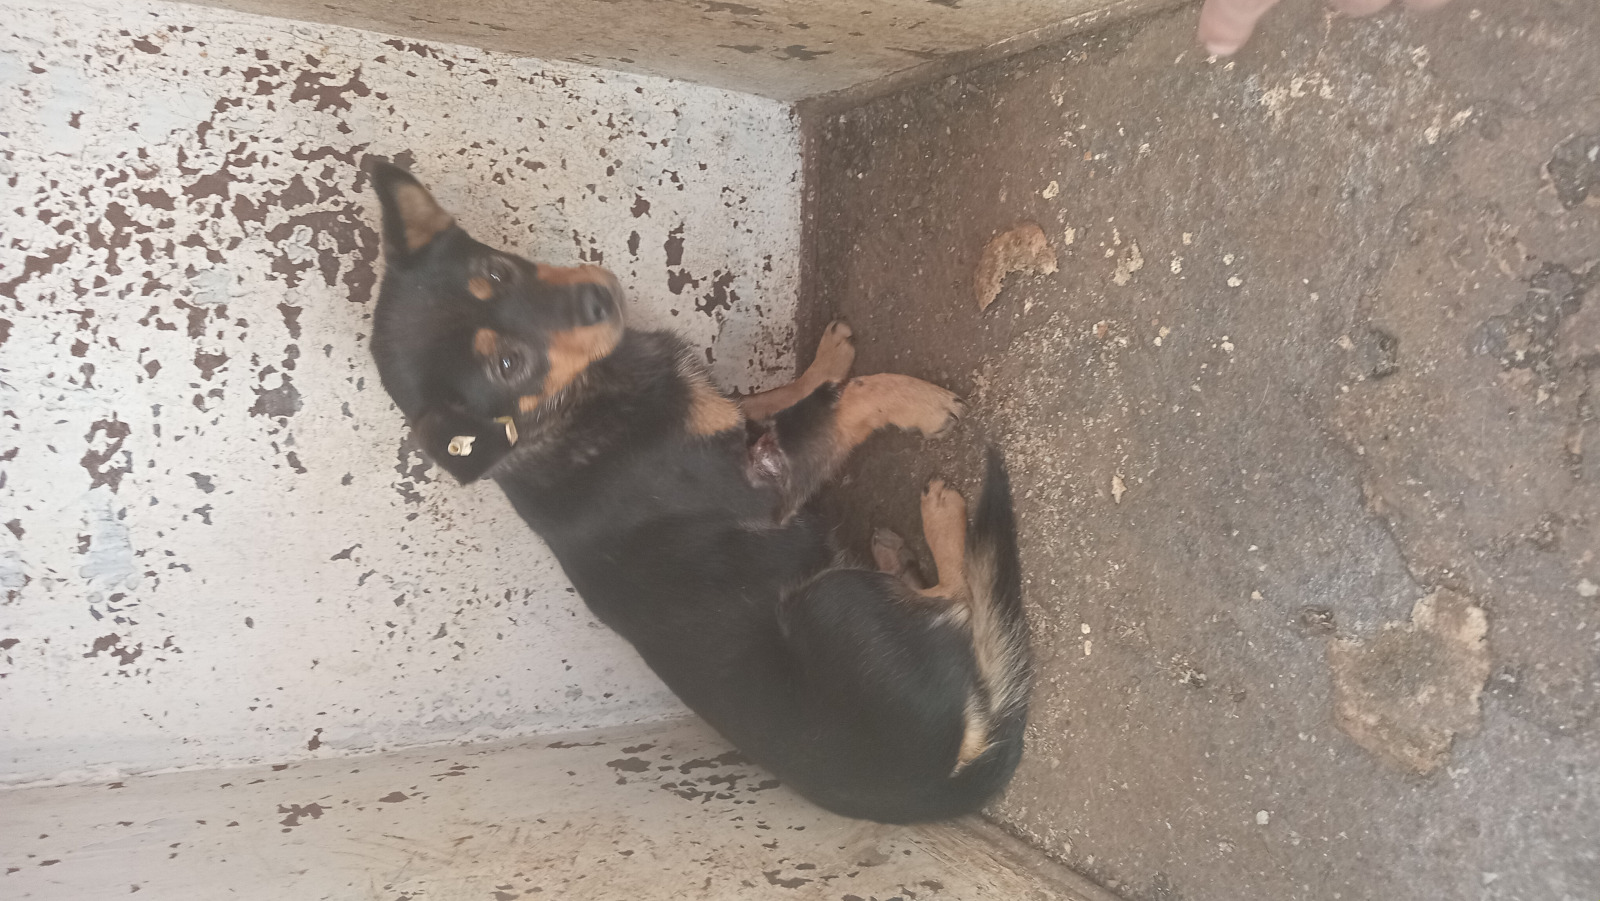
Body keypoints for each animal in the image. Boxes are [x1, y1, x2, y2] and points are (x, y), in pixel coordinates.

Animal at [363, 161, 1031, 823]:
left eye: (496, 272)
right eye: (507, 366)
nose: (595, 298)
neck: (571, 410)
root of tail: (945, 784)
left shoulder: (735, 426)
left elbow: (773, 396)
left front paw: (827, 358)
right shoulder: (766, 480)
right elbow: (844, 403)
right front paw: (915, 401)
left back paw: (900, 556)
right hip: (828, 602)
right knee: (962, 600)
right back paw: (941, 516)